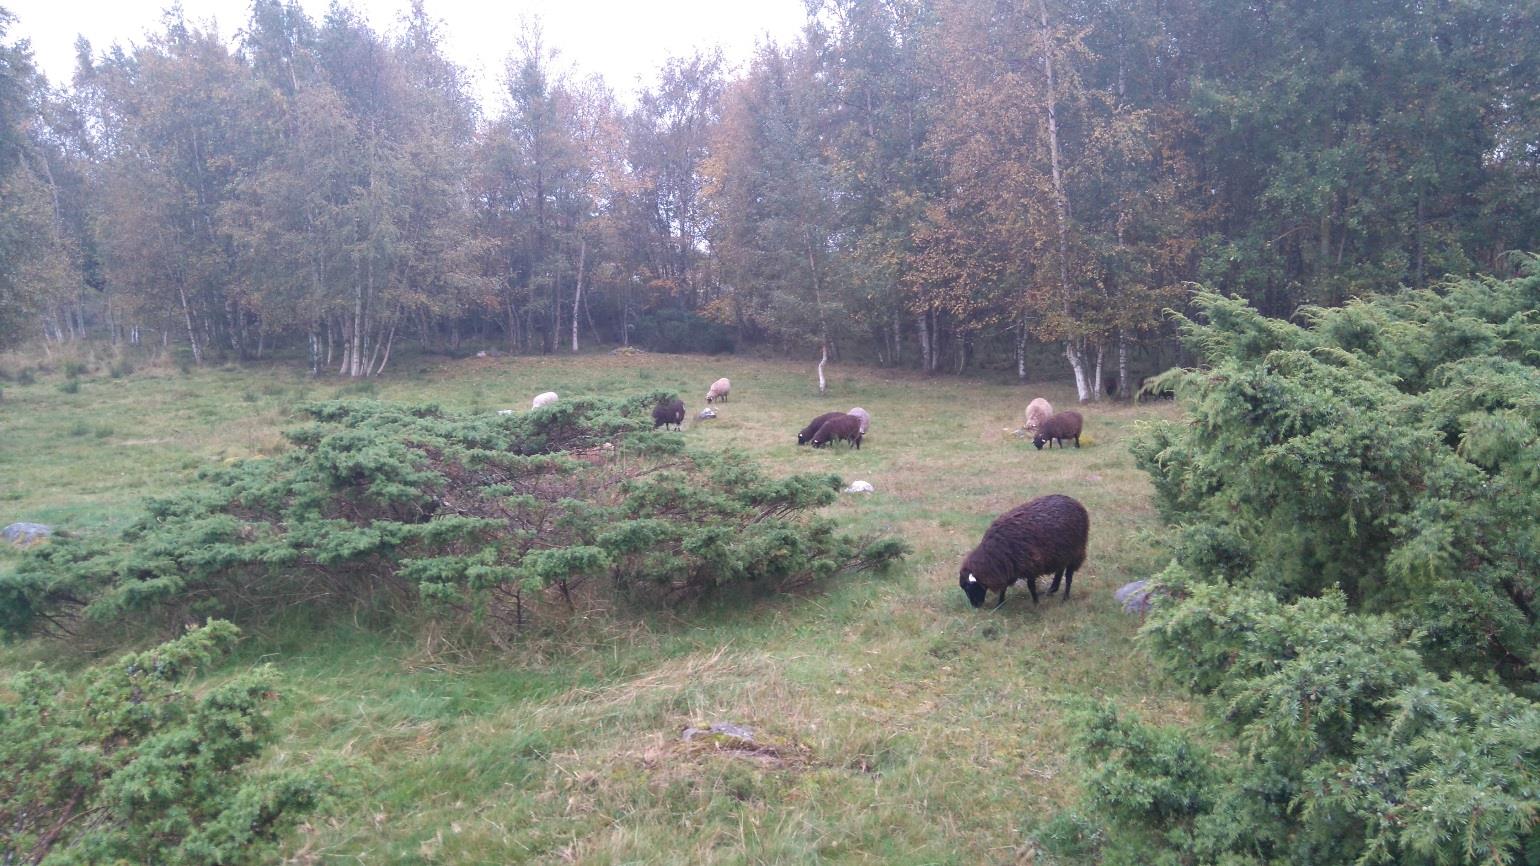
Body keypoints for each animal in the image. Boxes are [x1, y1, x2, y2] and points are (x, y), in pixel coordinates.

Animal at [954, 493, 1090, 607]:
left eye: (969, 587)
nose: (975, 606)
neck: (995, 555)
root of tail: (1074, 502)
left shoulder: (1030, 565)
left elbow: (1031, 586)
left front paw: (1035, 602)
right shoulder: (1008, 567)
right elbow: (1003, 587)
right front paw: (999, 604)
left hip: (1076, 552)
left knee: (1068, 576)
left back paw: (1065, 597)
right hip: (1061, 553)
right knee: (1060, 570)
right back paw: (1051, 590)